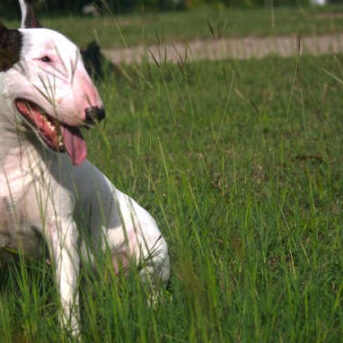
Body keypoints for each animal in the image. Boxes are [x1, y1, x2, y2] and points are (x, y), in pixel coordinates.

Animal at [0, 0, 171, 334]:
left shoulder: (62, 228)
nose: (96, 112)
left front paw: (70, 335)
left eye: (78, 58)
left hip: (152, 250)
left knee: (152, 290)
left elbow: (67, 299)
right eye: (45, 59)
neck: (8, 154)